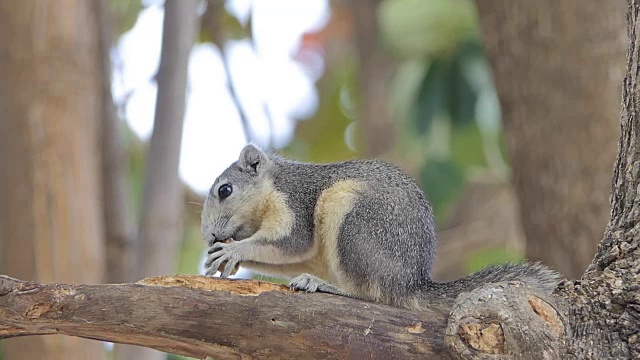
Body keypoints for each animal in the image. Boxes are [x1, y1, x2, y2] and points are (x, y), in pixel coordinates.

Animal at [201, 143, 560, 310]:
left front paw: (234, 250)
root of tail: (409, 283)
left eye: (225, 190)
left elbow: (293, 242)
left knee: (372, 294)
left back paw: (325, 285)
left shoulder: (294, 203)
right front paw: (222, 256)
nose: (209, 235)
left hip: (355, 224)